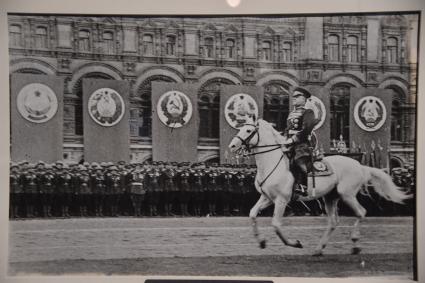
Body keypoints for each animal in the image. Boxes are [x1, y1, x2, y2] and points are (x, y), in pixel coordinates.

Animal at [229, 118, 410, 256]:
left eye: (248, 130)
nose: (232, 146)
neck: (272, 163)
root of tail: (360, 165)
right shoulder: (266, 197)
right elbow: (252, 214)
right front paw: (261, 241)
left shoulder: (281, 200)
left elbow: (276, 225)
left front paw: (295, 243)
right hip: (330, 197)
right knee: (333, 222)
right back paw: (319, 249)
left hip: (347, 194)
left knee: (361, 212)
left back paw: (355, 244)